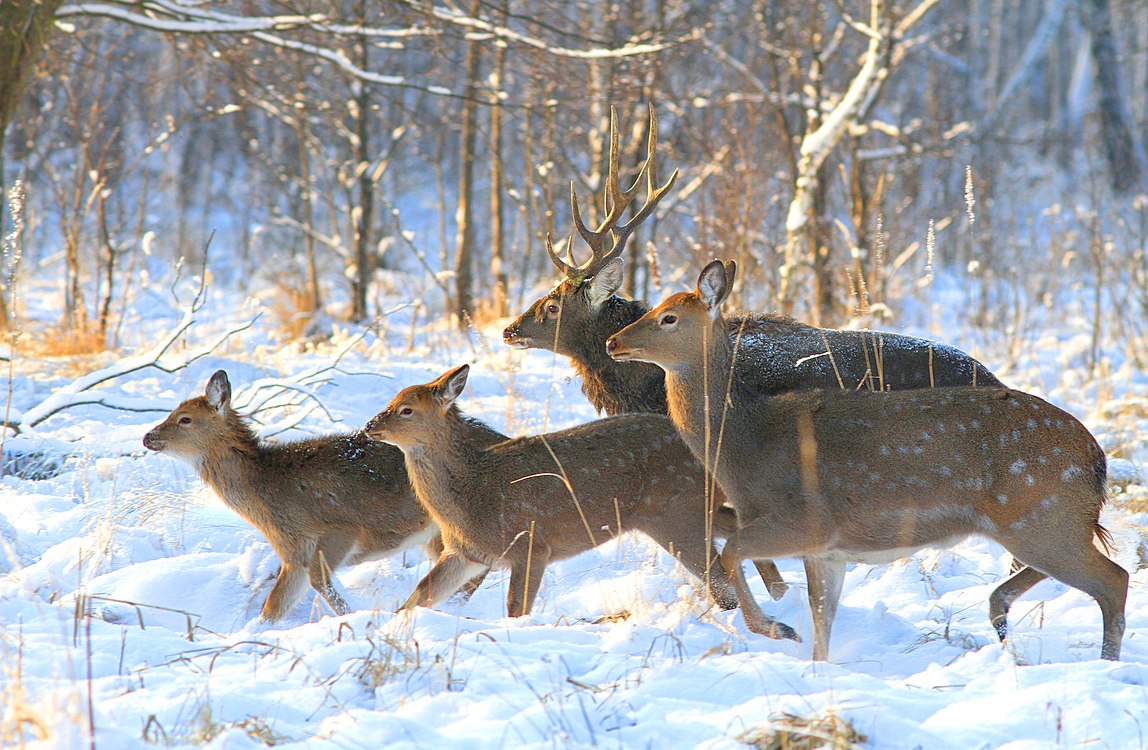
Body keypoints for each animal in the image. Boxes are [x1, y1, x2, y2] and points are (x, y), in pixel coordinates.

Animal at [143, 367, 498, 620]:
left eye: (184, 419)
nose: (148, 437)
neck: (264, 491)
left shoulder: (339, 530)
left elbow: (321, 584)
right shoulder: (292, 553)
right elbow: (272, 608)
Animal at [362, 362, 794, 633]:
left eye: (405, 409)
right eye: (390, 403)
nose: (369, 425)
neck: (472, 491)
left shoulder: (531, 544)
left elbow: (515, 609)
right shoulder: (466, 552)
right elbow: (420, 594)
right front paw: (385, 627)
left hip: (673, 514)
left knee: (720, 578)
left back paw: (773, 620)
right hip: (684, 510)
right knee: (736, 531)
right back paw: (779, 594)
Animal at [610, 260, 1129, 656]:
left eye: (668, 317)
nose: (614, 341)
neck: (746, 444)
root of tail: (1096, 459)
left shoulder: (804, 519)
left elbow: (732, 551)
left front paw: (777, 628)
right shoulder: (827, 549)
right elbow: (822, 620)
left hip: (1039, 514)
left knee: (1114, 579)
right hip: (1041, 522)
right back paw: (1002, 614)